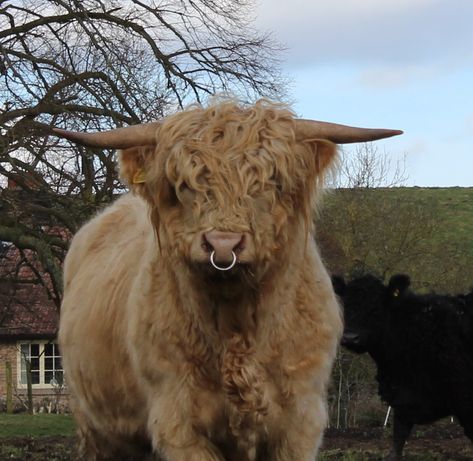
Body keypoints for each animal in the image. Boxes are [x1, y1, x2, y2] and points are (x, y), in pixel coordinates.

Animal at [332, 274, 472, 460]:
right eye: (345, 306)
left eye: (376, 309)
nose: (350, 337)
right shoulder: (402, 400)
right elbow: (396, 445)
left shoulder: (465, 402)